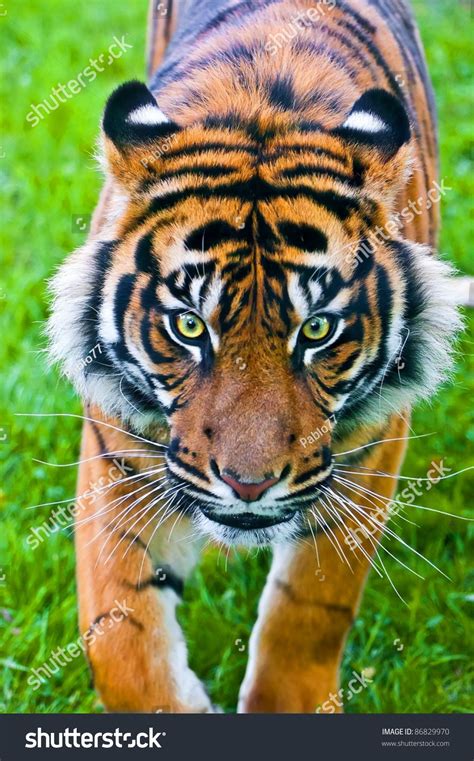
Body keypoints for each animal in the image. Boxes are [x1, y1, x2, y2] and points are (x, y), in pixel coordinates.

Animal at [48, 0, 462, 712]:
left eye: (317, 330)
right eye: (189, 325)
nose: (248, 485)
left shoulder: (370, 450)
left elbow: (308, 612)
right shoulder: (118, 459)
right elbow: (119, 646)